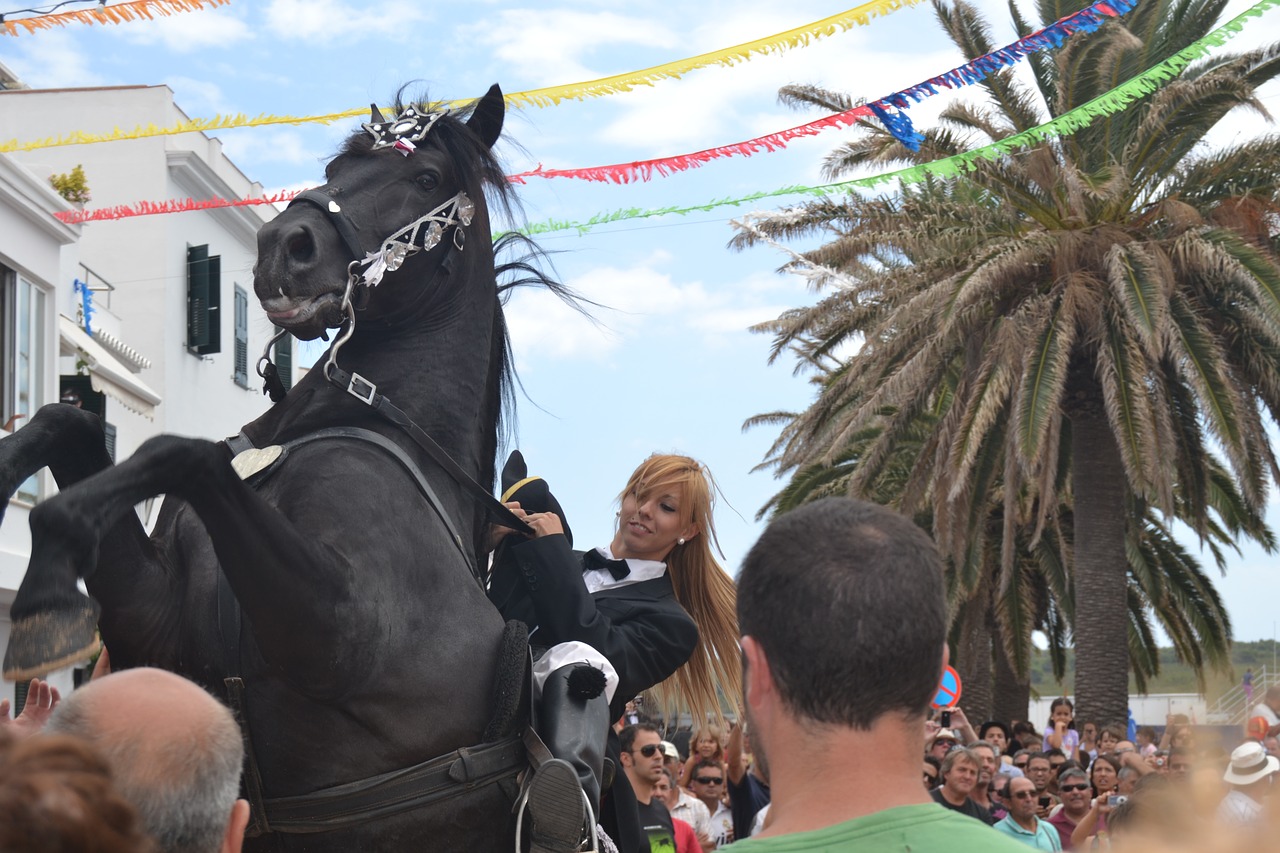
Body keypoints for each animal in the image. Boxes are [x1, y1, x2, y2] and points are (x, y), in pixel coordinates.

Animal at [0, 83, 560, 845]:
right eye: (337, 166)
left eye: (425, 179)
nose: (282, 245)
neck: (337, 425)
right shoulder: (153, 623)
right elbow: (67, 421)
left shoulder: (332, 630)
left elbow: (180, 451)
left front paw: (49, 572)